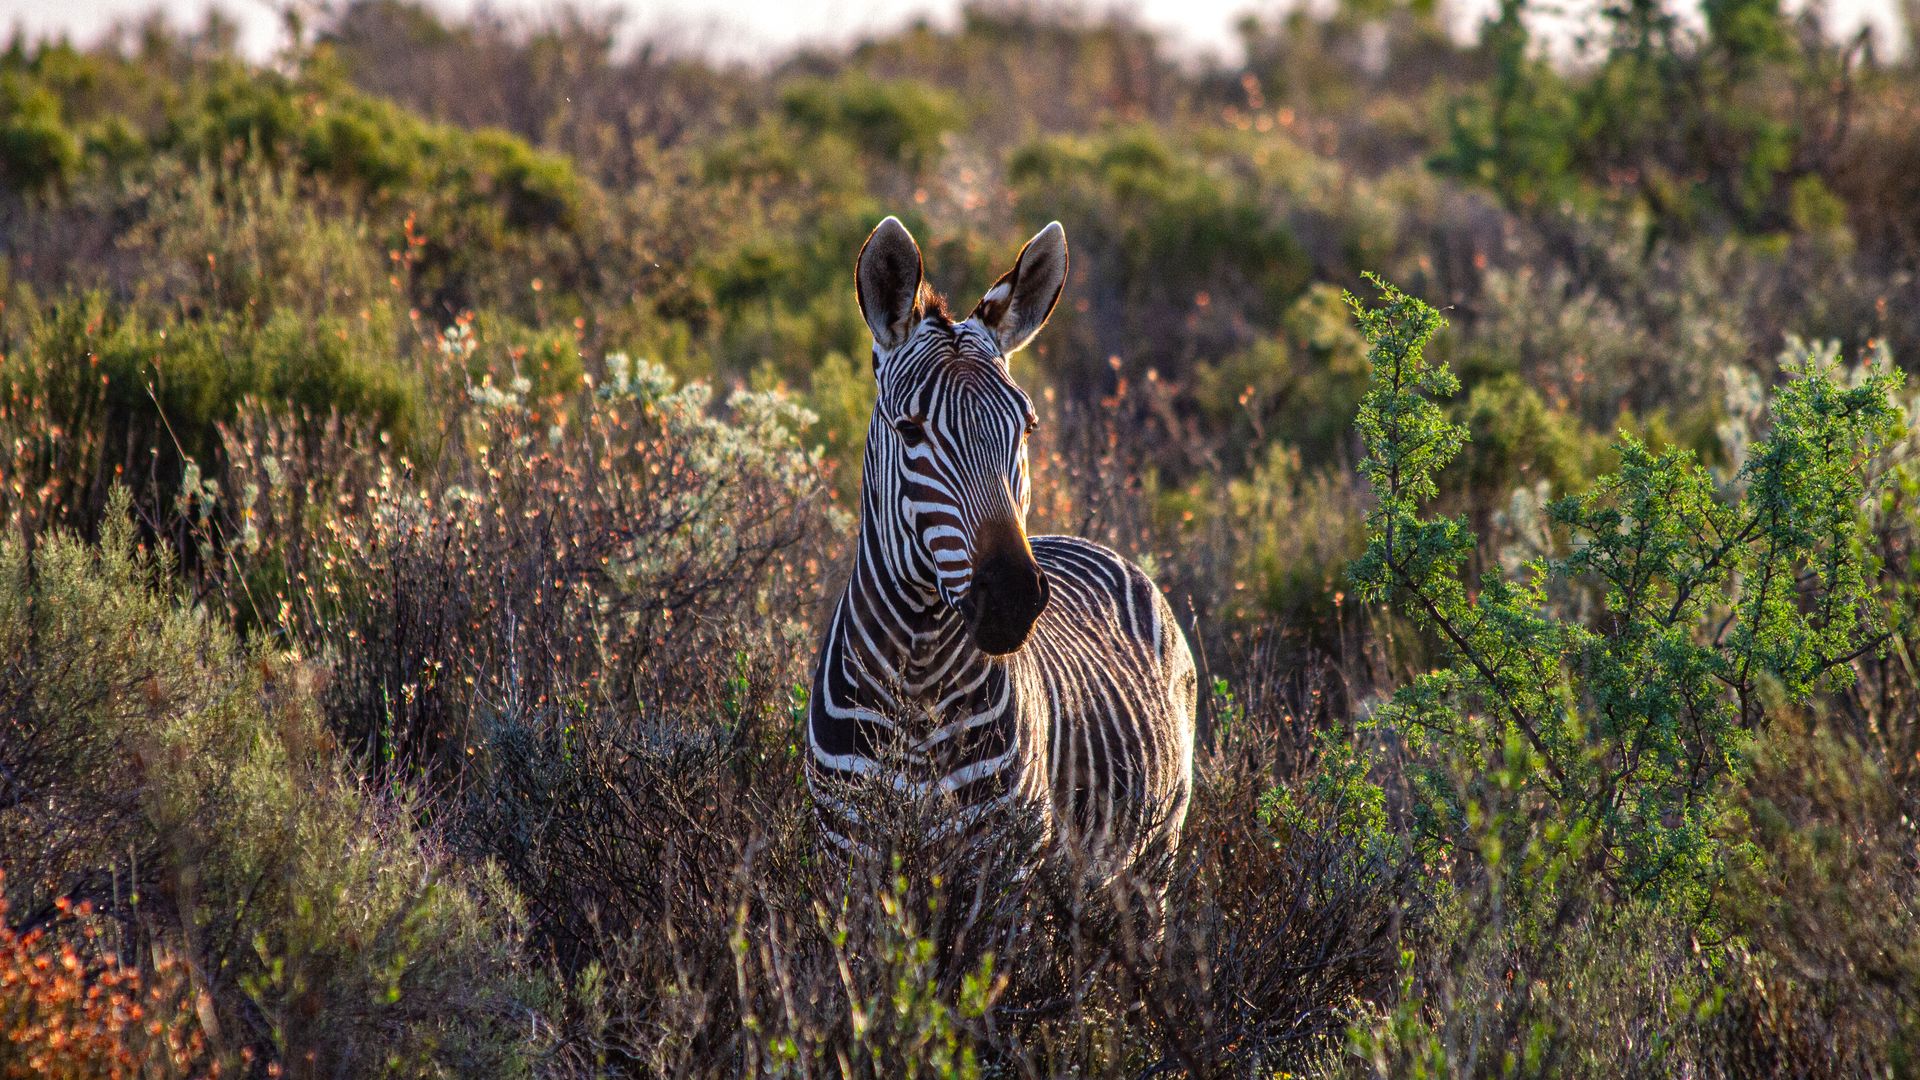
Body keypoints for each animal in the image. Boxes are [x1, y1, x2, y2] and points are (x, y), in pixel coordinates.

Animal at [806, 215, 1198, 897]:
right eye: (911, 431)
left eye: (1028, 428)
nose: (1013, 598)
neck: (916, 676)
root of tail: (1086, 541)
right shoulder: (847, 859)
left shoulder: (1001, 869)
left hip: (1155, 853)